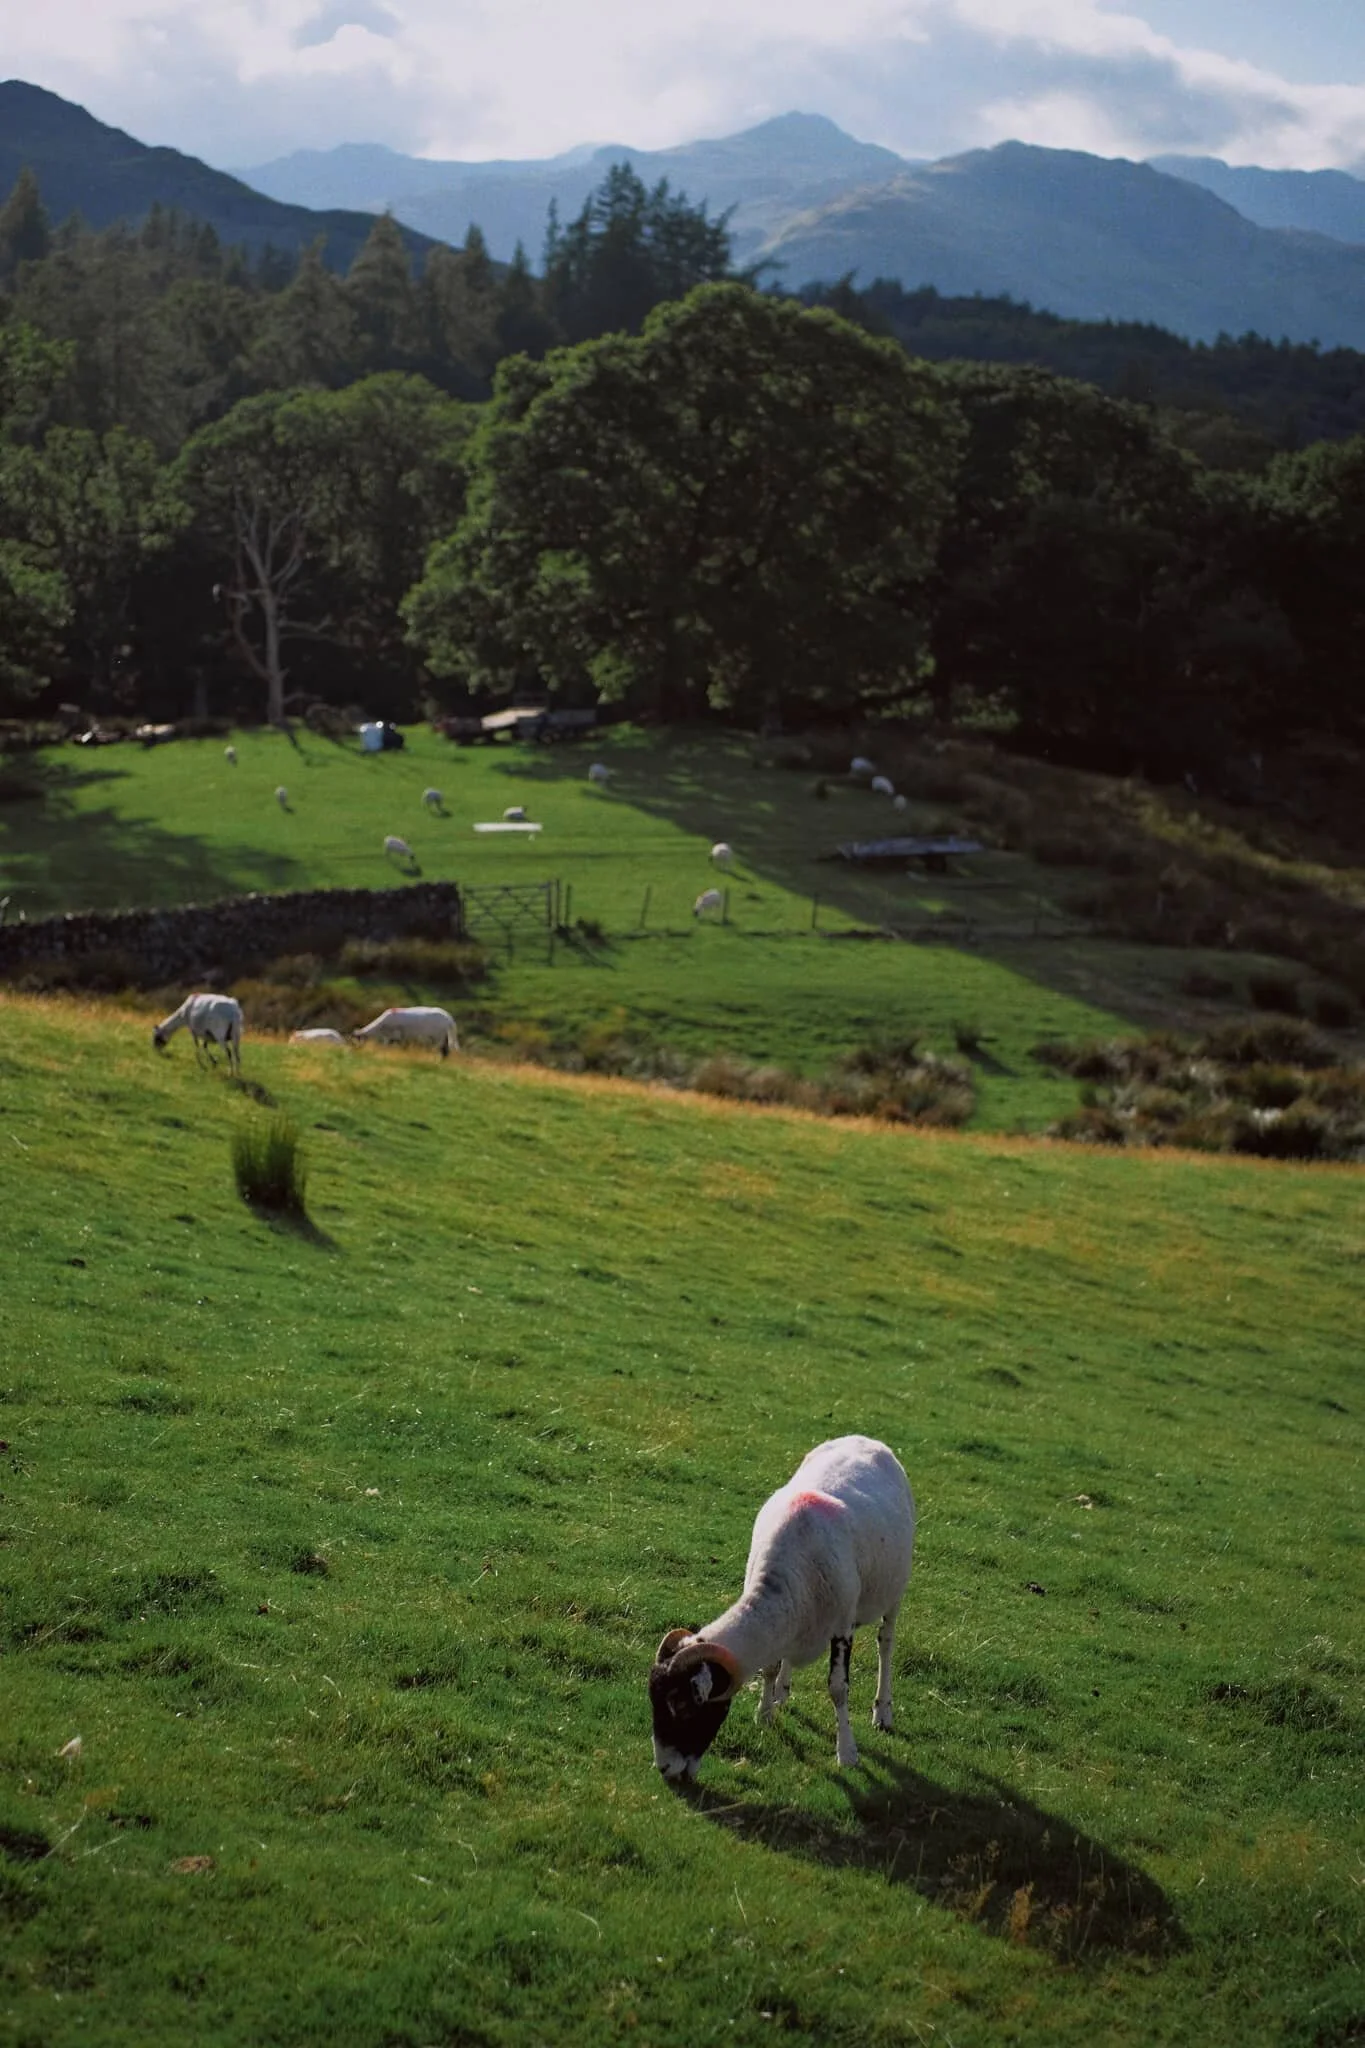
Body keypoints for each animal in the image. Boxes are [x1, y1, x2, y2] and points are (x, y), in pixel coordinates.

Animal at [648, 1436, 915, 1783]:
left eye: (680, 1705)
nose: (665, 1769)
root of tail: (865, 1438)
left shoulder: (842, 1627)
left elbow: (838, 1688)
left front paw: (847, 1753)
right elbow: (770, 1668)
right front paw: (765, 1713)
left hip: (895, 1591)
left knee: (886, 1643)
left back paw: (882, 1711)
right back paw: (782, 1693)